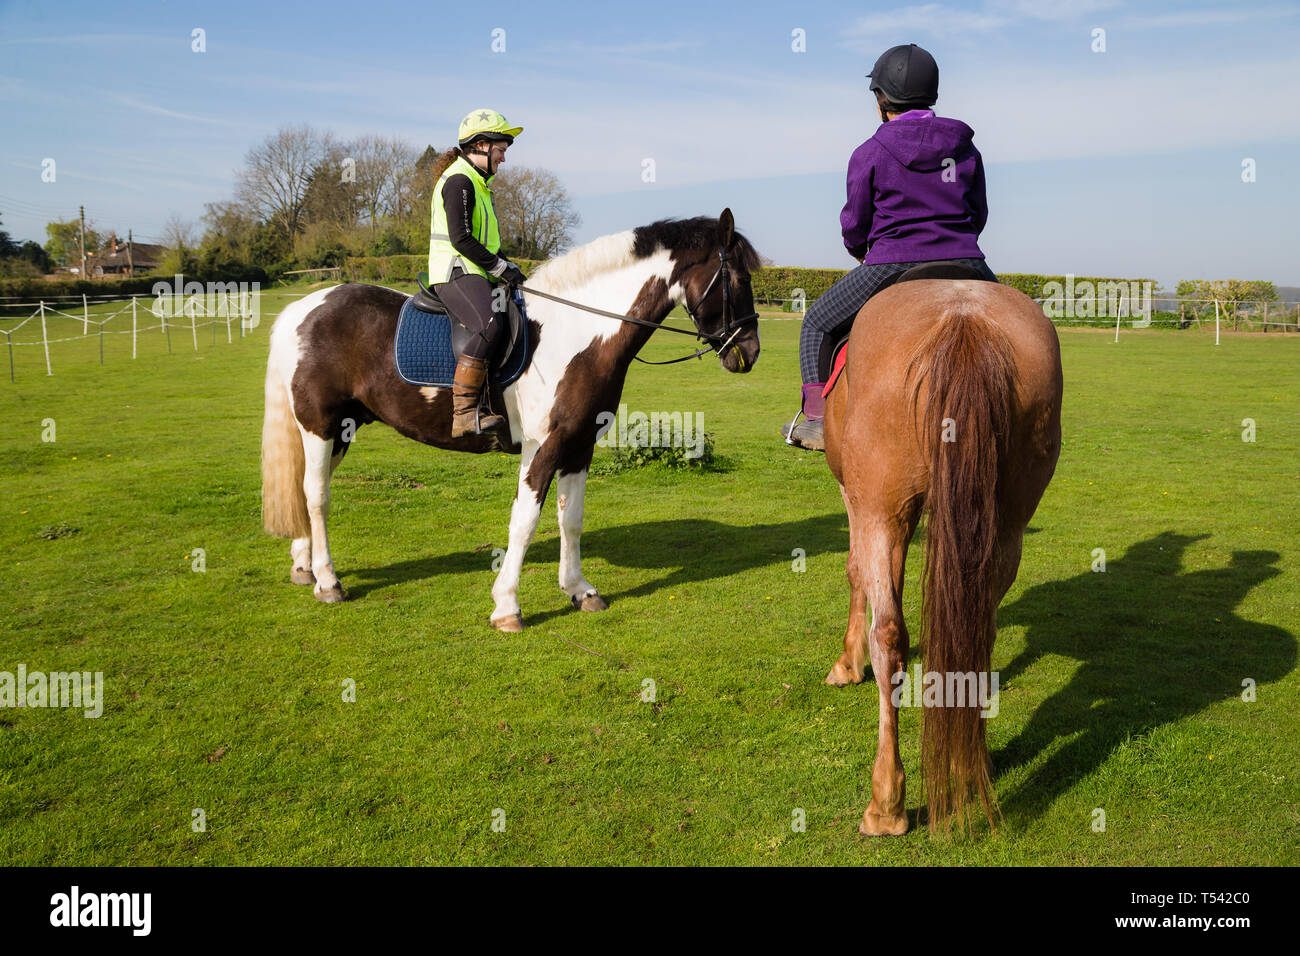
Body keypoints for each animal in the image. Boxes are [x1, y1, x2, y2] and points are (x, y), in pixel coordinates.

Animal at [826, 278, 1060, 837]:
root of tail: (964, 319)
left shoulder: (857, 498)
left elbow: (855, 574)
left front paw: (847, 662)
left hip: (882, 509)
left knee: (890, 634)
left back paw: (886, 803)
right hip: (1005, 521)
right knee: (978, 631)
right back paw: (967, 763)